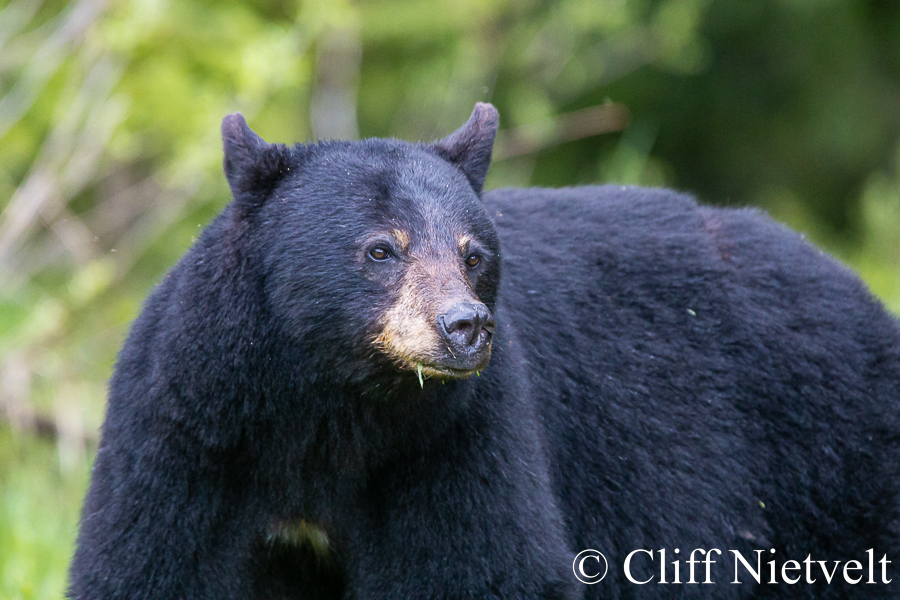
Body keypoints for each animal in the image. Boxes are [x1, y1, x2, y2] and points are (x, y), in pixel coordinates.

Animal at [68, 102, 900, 600]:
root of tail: (853, 284)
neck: (330, 406)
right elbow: (153, 565)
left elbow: (480, 568)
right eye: (381, 249)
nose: (465, 326)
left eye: (474, 254)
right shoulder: (191, 432)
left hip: (827, 467)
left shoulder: (457, 438)